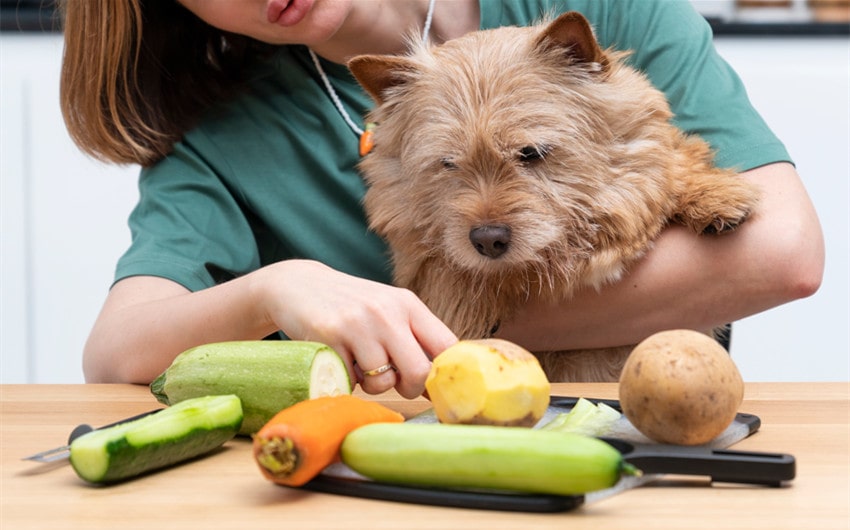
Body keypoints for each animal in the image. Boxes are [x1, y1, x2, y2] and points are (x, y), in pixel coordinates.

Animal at [348, 10, 760, 378]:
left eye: (531, 153)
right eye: (448, 163)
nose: (487, 240)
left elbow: (675, 160)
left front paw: (714, 194)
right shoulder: (416, 255)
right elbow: (443, 269)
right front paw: (465, 299)